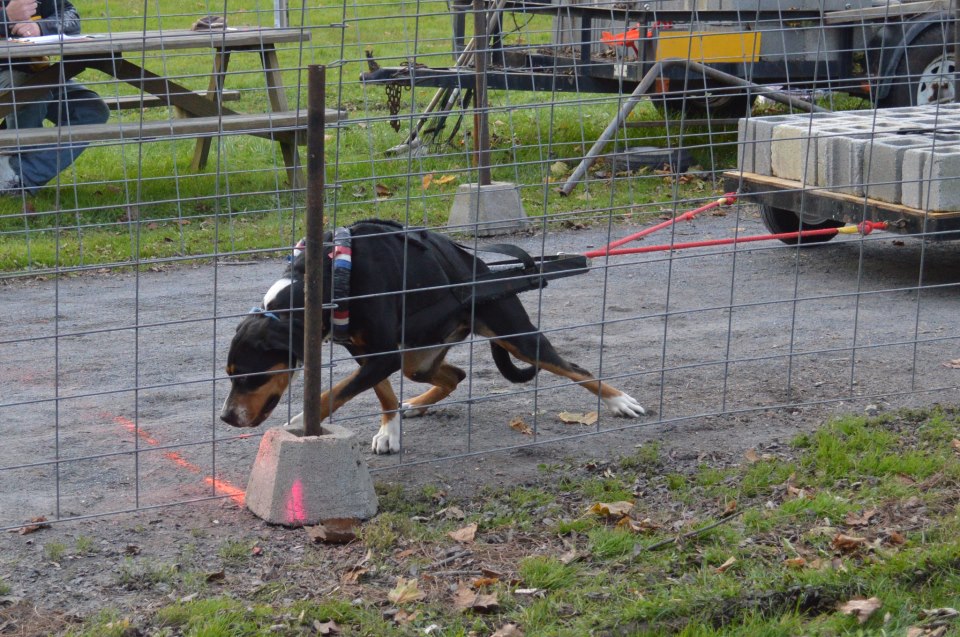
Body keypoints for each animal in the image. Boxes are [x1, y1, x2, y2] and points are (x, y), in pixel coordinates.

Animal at [221, 219, 644, 452]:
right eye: (230, 376)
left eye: (250, 376)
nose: (226, 417)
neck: (323, 280)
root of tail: (484, 270)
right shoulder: (368, 353)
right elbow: (381, 393)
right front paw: (390, 432)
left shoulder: (381, 356)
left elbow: (337, 391)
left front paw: (302, 421)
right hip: (418, 360)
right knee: (454, 375)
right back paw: (417, 404)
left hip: (517, 336)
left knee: (575, 368)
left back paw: (620, 401)